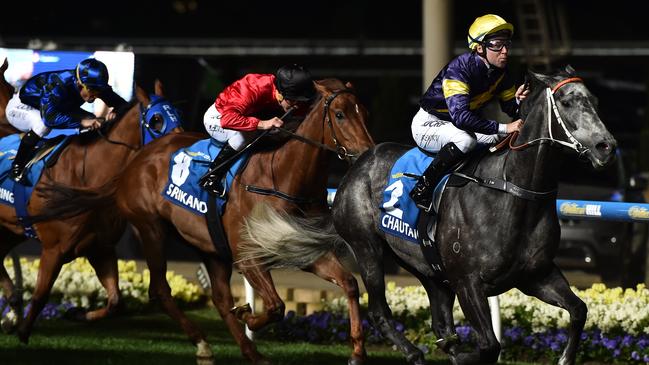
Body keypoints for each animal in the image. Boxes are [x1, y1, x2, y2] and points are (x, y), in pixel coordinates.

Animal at [0, 79, 184, 342]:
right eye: (157, 119)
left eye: (178, 114)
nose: (180, 147)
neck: (88, 176)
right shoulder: (54, 249)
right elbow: (40, 295)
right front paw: (24, 331)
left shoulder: (100, 248)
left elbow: (116, 302)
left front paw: (76, 313)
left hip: (13, 229)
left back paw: (12, 307)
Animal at [41, 78, 374, 362]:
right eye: (340, 115)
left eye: (364, 112)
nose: (366, 154)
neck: (282, 177)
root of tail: (135, 161)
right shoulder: (248, 257)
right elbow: (276, 306)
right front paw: (248, 314)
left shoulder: (300, 248)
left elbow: (349, 284)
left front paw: (357, 351)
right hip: (151, 228)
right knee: (161, 290)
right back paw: (203, 343)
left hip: (210, 247)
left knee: (220, 298)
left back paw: (250, 352)